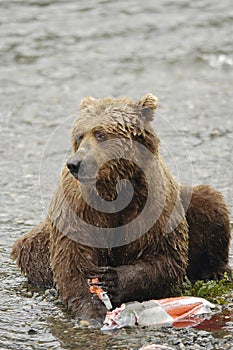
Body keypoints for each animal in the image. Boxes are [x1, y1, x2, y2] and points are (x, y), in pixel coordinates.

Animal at [10, 93, 231, 322]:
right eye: (79, 136)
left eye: (100, 134)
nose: (75, 164)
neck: (114, 189)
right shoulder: (78, 210)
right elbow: (73, 260)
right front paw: (92, 311)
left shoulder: (153, 207)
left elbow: (165, 257)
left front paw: (113, 279)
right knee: (29, 247)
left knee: (209, 203)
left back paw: (217, 271)